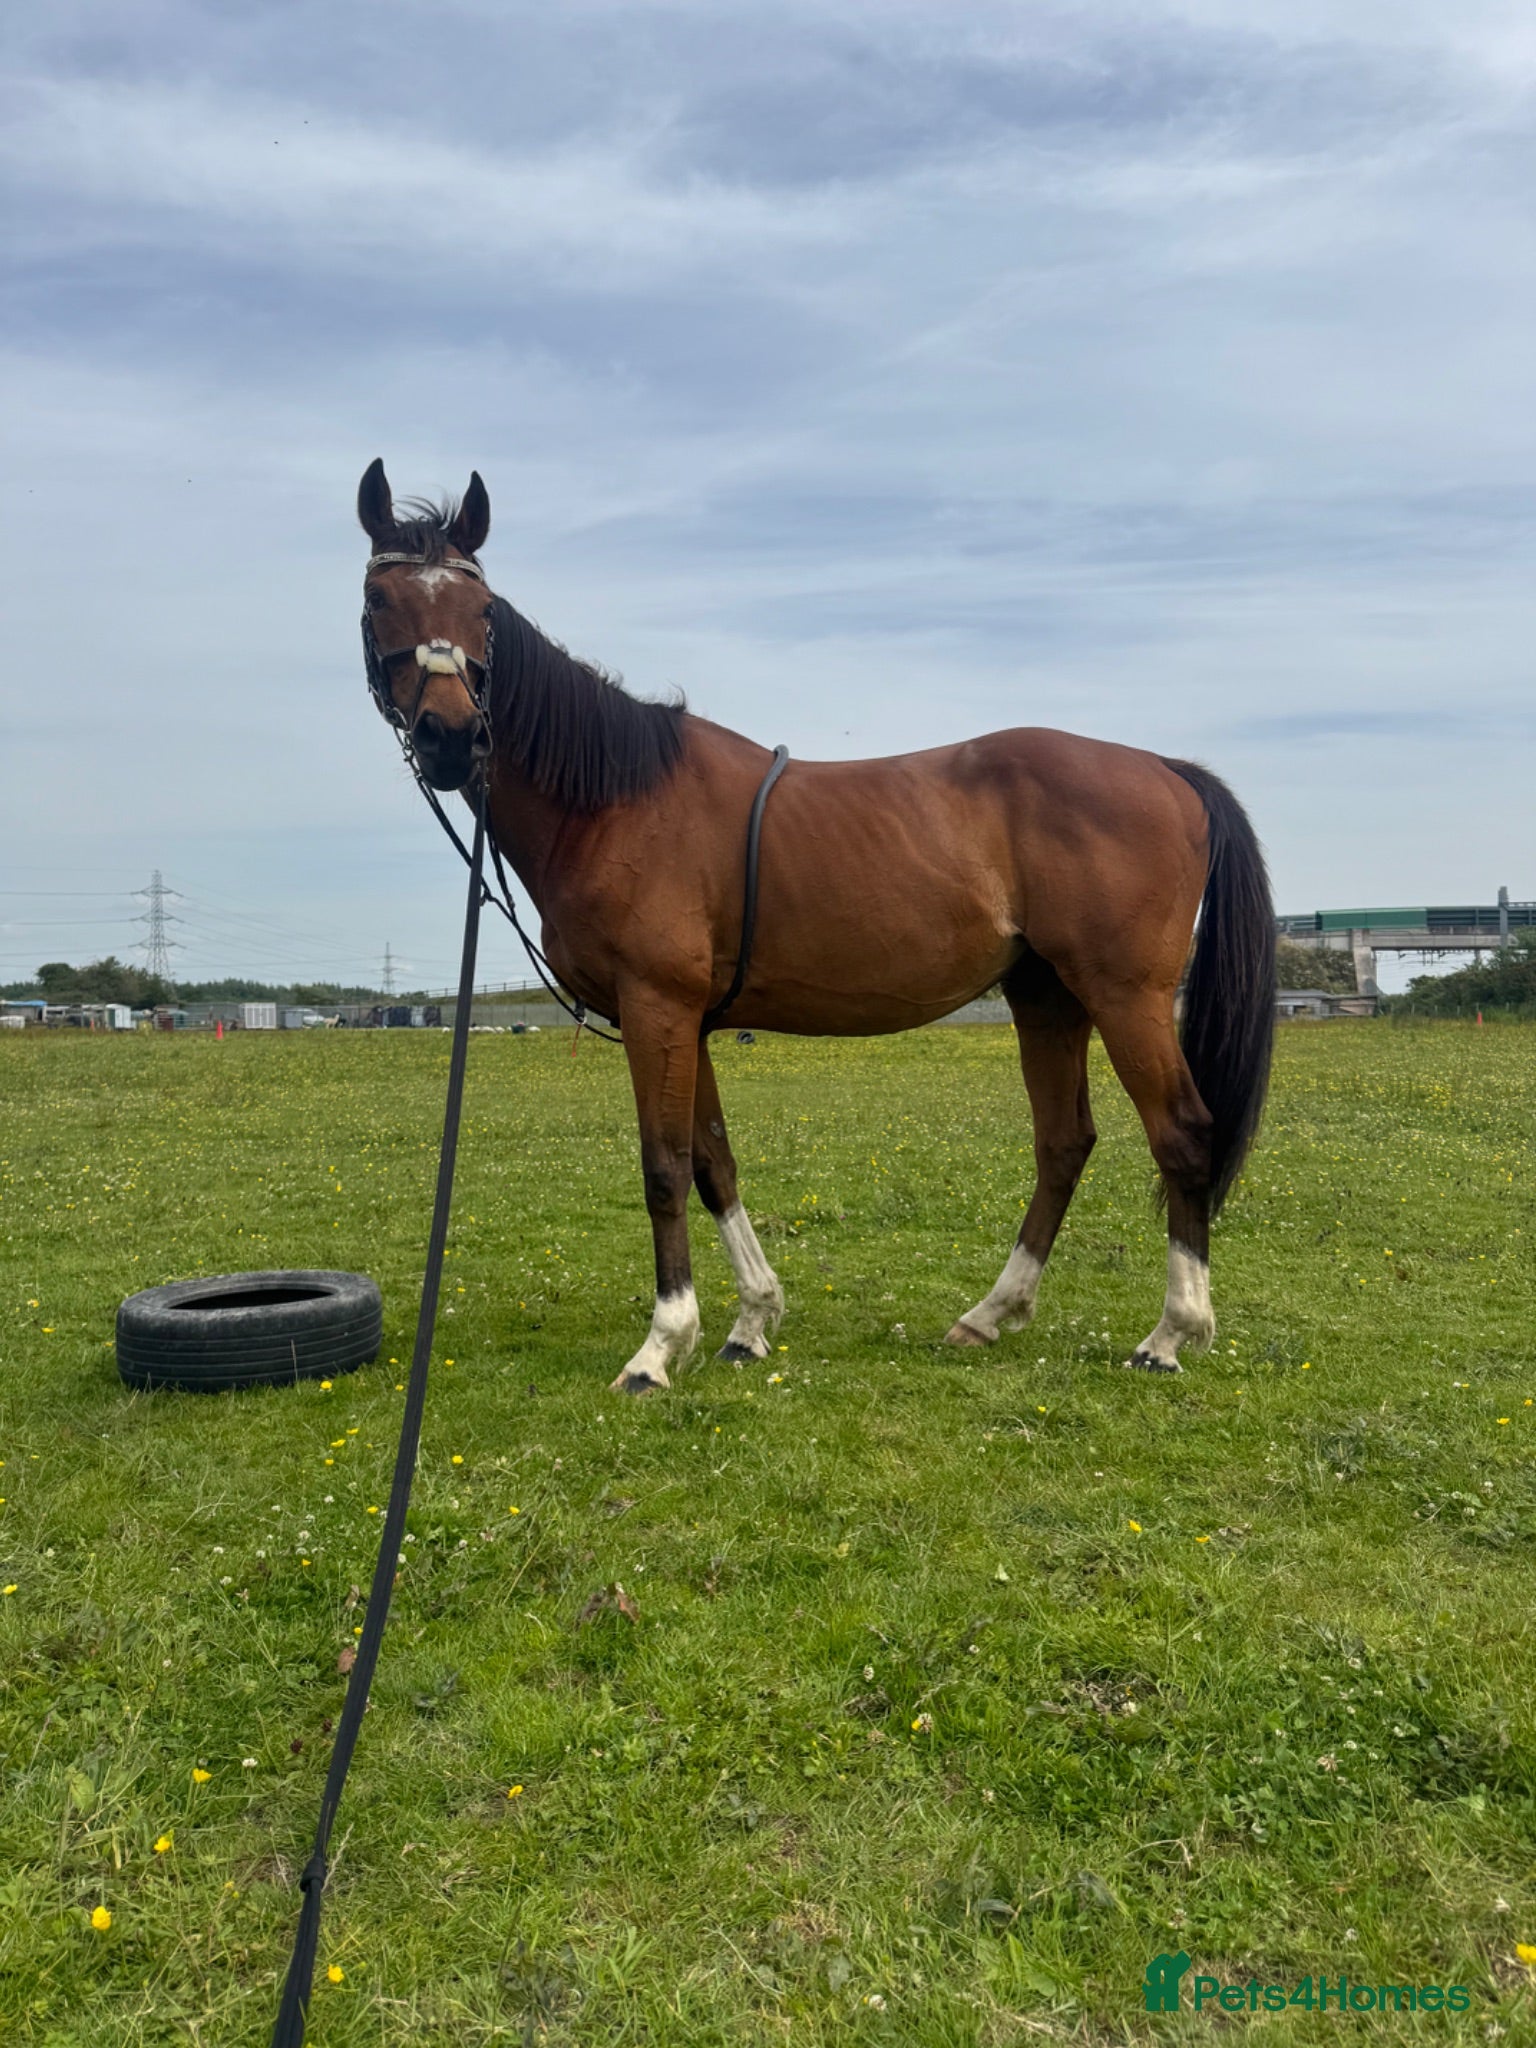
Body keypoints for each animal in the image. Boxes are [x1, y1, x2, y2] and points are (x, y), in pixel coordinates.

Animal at [357, 460, 1275, 1394]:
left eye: (480, 609)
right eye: (378, 598)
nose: (449, 734)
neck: (616, 803)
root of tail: (1167, 770)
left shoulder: (656, 1008)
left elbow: (663, 1168)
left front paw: (661, 1345)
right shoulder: (690, 1020)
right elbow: (712, 1163)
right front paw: (749, 1321)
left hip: (1124, 996)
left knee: (1182, 1136)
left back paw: (1170, 1334)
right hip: (1047, 996)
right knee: (1063, 1143)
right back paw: (991, 1314)